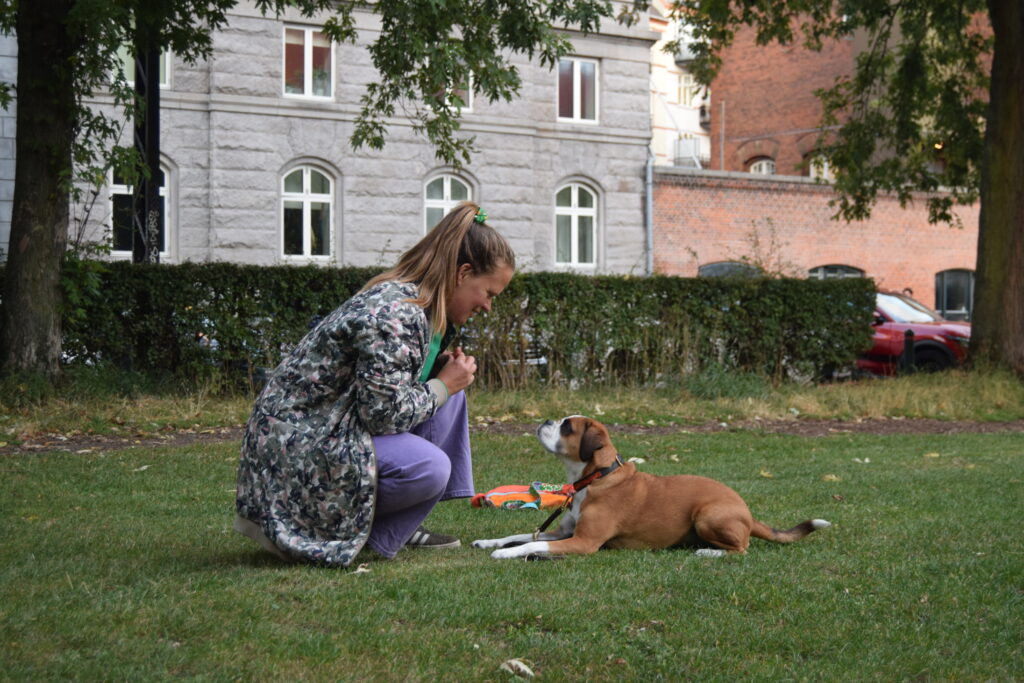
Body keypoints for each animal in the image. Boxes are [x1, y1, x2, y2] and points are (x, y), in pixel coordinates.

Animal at [473, 417, 831, 561]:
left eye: (567, 427)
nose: (547, 420)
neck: (597, 476)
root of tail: (746, 511)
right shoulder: (563, 534)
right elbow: (521, 535)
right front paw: (490, 542)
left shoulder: (583, 542)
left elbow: (532, 544)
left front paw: (504, 553)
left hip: (707, 514)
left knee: (742, 549)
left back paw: (708, 552)